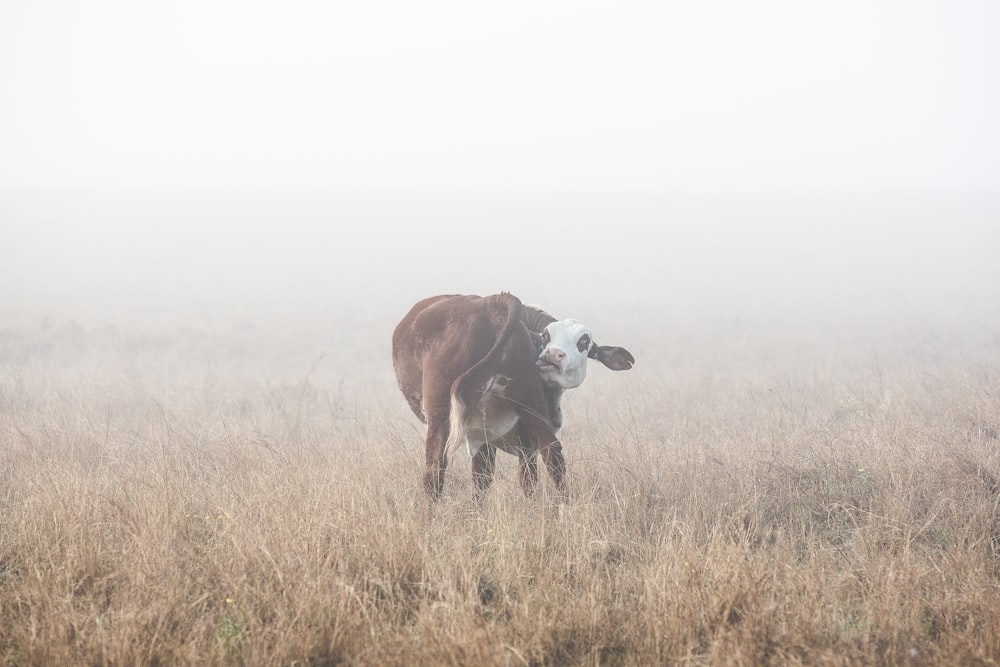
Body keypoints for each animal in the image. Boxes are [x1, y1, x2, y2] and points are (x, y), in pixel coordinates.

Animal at [390, 292, 632, 500]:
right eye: (546, 336)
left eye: (583, 341)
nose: (554, 354)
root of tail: (495, 301)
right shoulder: (508, 438)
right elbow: (486, 479)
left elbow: (486, 479)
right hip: (529, 404)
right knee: (551, 454)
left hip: (441, 414)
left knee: (434, 473)